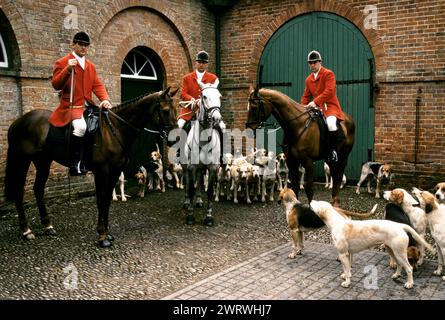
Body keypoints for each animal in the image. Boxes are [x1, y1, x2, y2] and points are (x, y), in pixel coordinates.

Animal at [4, 87, 177, 248]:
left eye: (175, 109)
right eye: (166, 110)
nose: (173, 140)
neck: (115, 129)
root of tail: (18, 122)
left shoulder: (114, 172)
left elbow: (106, 200)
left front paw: (107, 233)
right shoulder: (102, 172)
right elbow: (101, 198)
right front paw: (102, 235)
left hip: (43, 161)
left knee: (38, 189)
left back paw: (47, 226)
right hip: (23, 161)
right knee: (19, 191)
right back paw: (26, 230)